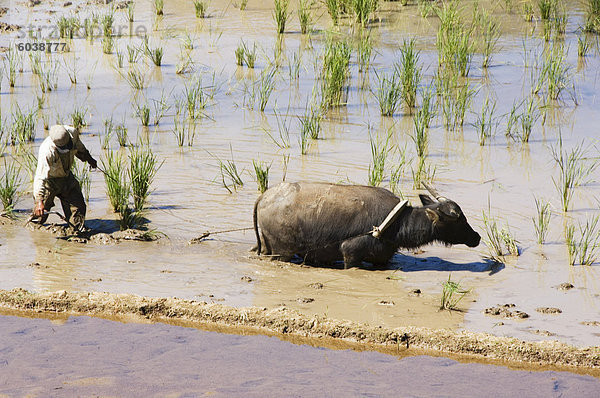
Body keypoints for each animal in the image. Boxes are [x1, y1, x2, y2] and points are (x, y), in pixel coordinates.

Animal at [251, 182, 480, 268]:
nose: (476, 237)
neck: (397, 223)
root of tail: (263, 197)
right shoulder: (350, 253)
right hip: (282, 252)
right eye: (459, 219)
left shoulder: (383, 258)